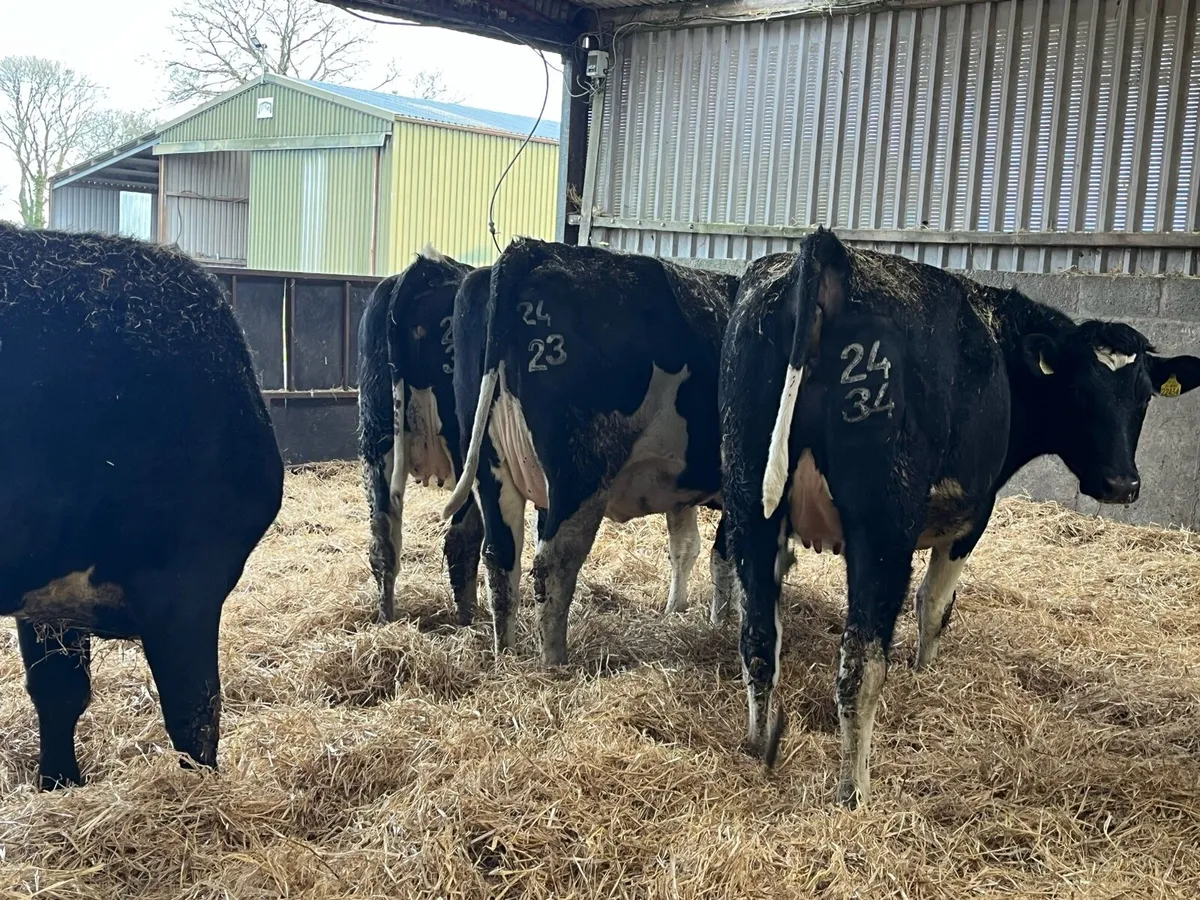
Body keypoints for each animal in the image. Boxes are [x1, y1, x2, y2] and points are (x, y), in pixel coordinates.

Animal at [358, 246, 485, 625]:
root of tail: (426, 269)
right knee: (462, 537)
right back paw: (470, 618)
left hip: (376, 438)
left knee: (382, 536)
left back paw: (386, 619)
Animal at [442, 239, 741, 663]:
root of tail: (533, 249)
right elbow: (725, 556)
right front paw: (721, 623)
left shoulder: (681, 489)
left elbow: (684, 547)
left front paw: (676, 612)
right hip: (580, 473)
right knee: (553, 564)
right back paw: (554, 661)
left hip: (491, 466)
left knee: (501, 557)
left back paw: (506, 654)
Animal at [719, 228, 1200, 807]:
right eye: (1081, 392)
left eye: (1145, 395)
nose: (1122, 485)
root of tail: (828, 250)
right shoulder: (974, 514)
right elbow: (934, 606)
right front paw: (924, 673)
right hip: (882, 529)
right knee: (861, 663)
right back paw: (854, 789)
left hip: (750, 503)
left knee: (758, 641)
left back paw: (756, 744)